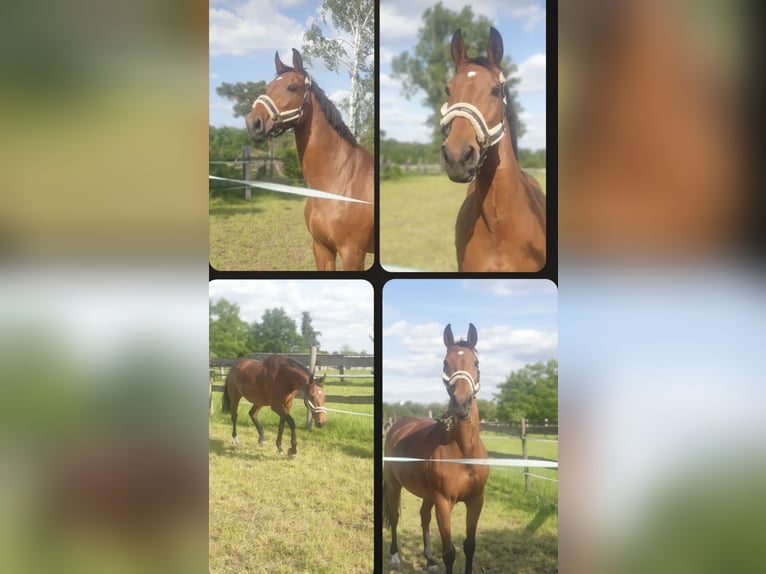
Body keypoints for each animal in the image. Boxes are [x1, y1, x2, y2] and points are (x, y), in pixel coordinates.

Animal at [383, 323, 489, 574]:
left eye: (476, 362)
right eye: (445, 363)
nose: (461, 403)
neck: (464, 454)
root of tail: (398, 426)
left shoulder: (476, 501)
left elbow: (470, 545)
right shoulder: (443, 502)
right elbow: (450, 551)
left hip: (426, 494)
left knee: (423, 516)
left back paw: (430, 560)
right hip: (394, 485)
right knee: (394, 516)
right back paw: (395, 557)